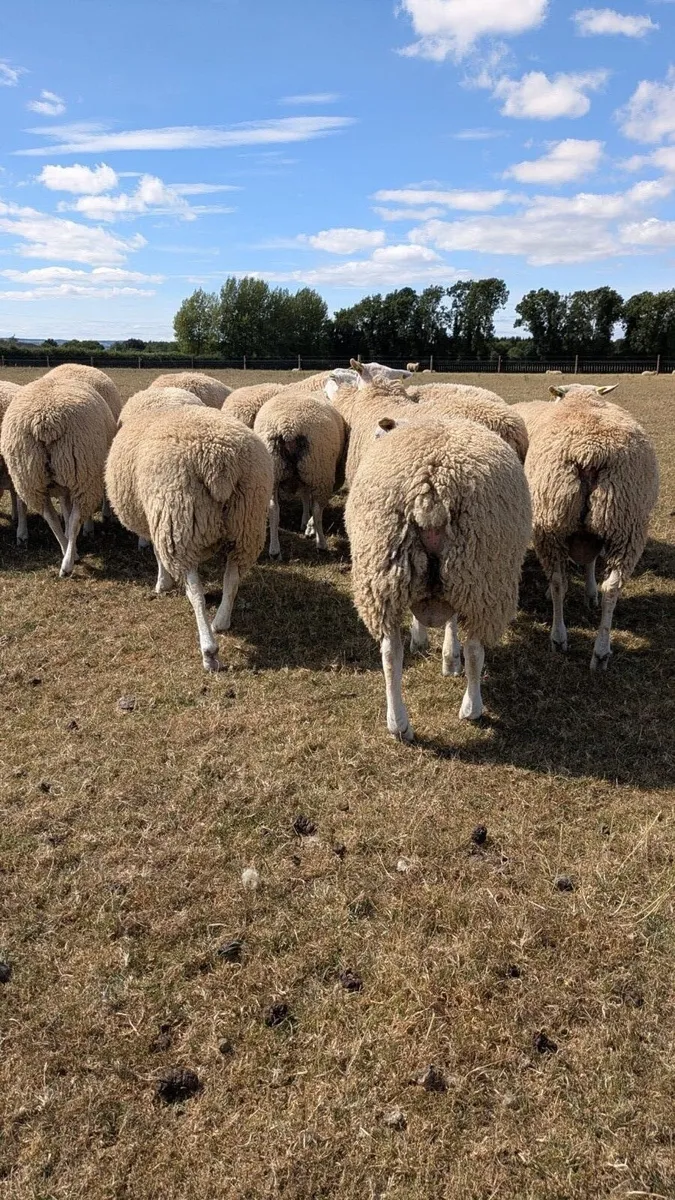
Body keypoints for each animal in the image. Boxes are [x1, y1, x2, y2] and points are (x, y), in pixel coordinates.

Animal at [0, 373, 116, 576]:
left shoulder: (61, 486)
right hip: (82, 476)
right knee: (74, 519)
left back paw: (67, 551)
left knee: (51, 518)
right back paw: (68, 562)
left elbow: (64, 512)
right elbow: (70, 515)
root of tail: (46, 421)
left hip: (30, 479)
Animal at [105, 406, 273, 671]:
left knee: (196, 594)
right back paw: (221, 622)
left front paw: (162, 583)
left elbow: (157, 554)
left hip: (178, 524)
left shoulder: (158, 522)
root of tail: (219, 464)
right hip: (247, 522)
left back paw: (209, 650)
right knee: (232, 580)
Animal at [253, 390, 345, 557]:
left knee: (273, 509)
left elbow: (304, 495)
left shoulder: (304, 475)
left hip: (274, 469)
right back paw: (321, 544)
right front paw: (308, 525)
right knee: (318, 510)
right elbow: (309, 501)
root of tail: (288, 427)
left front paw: (304, 521)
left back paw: (274, 550)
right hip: (320, 470)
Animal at [344, 414, 531, 741]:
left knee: (390, 652)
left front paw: (430, 644)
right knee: (475, 649)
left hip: (383, 572)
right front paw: (450, 658)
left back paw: (399, 724)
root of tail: (431, 490)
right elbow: (455, 625)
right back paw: (472, 707)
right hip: (482, 573)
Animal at [513, 385, 659, 669]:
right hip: (626, 523)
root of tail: (590, 452)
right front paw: (591, 594)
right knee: (611, 587)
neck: (582, 399)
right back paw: (600, 652)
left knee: (561, 581)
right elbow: (590, 562)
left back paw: (560, 638)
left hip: (555, 521)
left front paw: (587, 594)